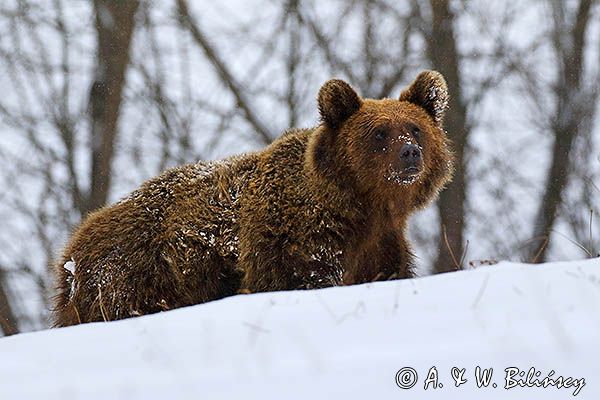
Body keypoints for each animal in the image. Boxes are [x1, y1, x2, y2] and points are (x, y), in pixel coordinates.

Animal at [52, 70, 454, 326]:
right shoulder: (296, 241)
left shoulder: (380, 245)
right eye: (379, 133)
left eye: (415, 128)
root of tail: (72, 248)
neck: (363, 207)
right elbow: (299, 279)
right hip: (130, 279)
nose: (410, 153)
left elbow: (386, 273)